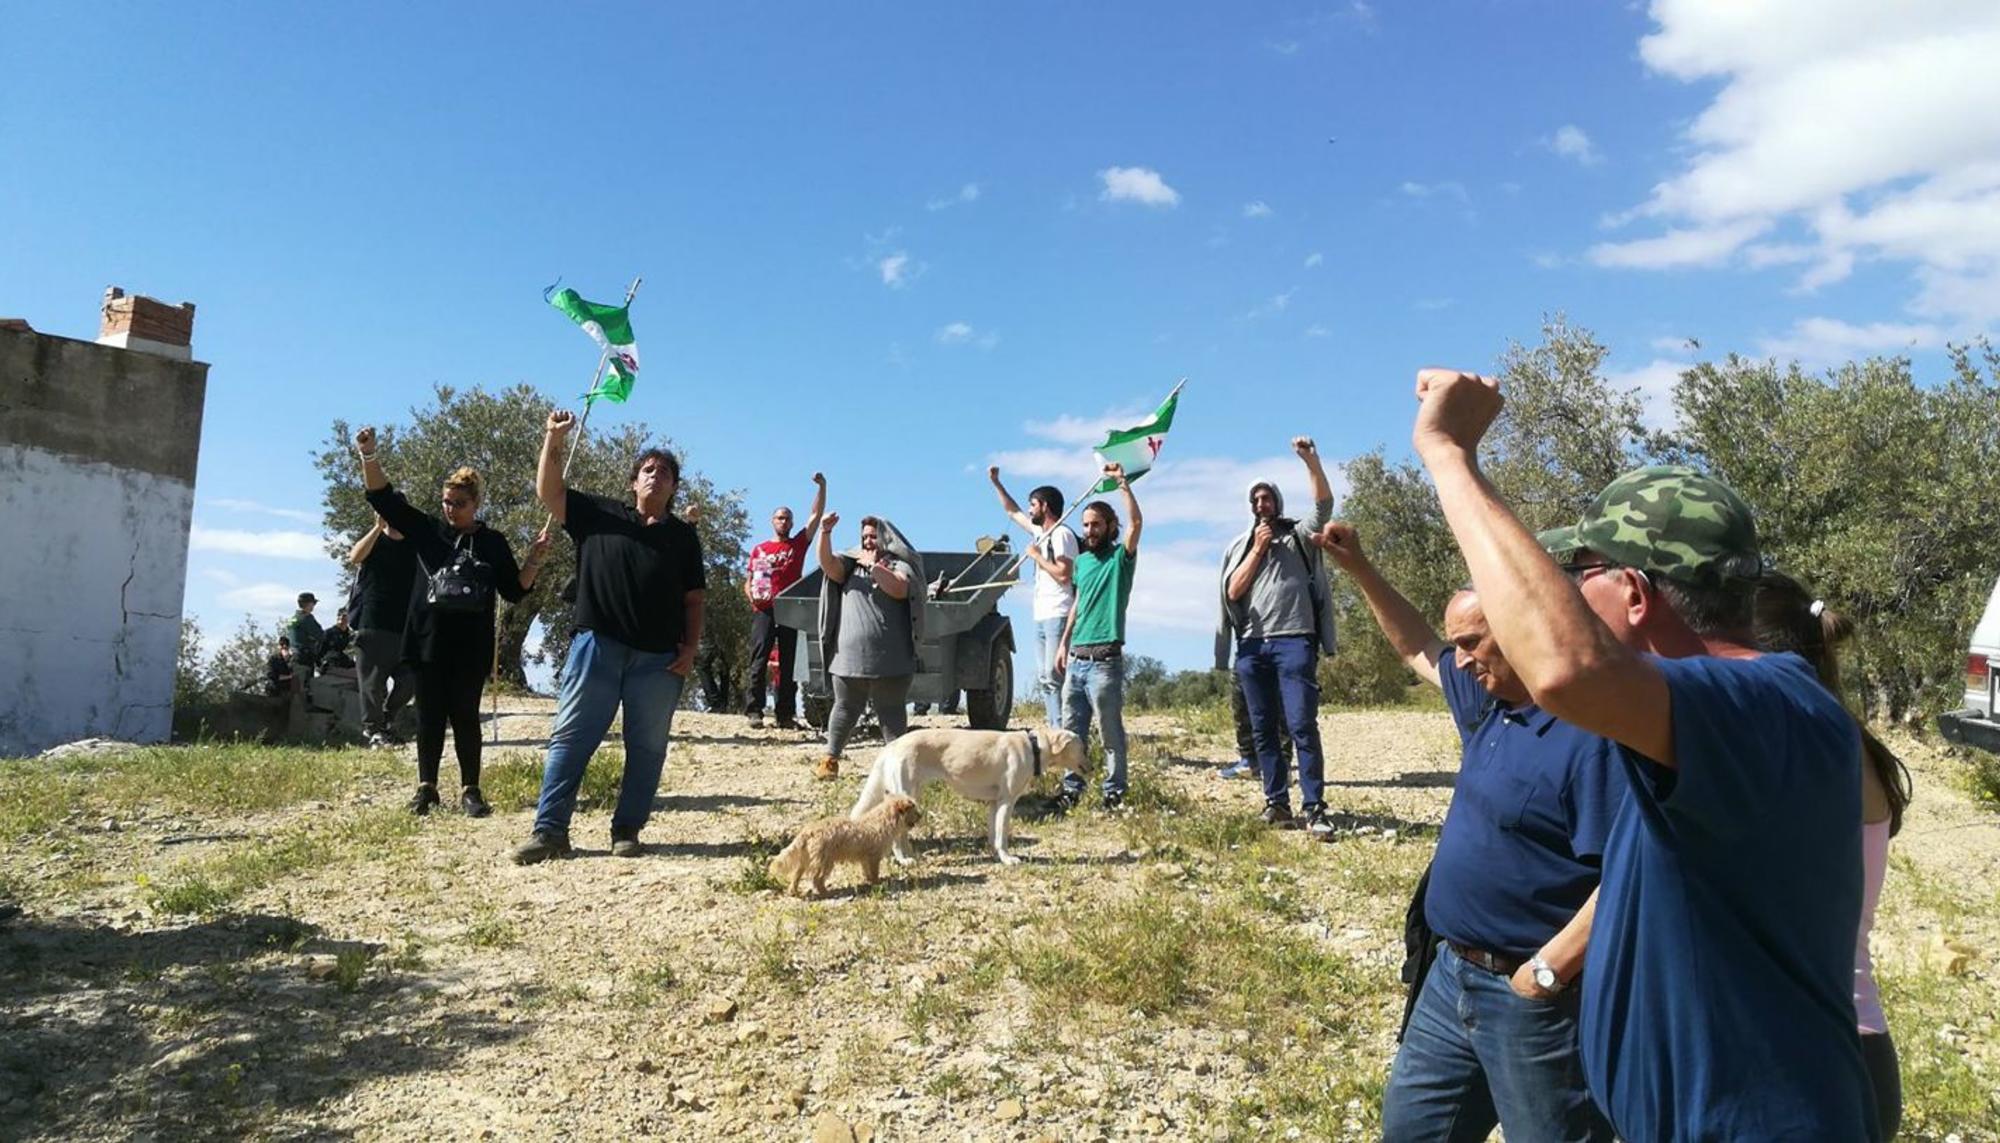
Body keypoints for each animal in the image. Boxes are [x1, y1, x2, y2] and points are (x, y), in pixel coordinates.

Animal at [768, 795, 924, 891]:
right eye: (914, 809)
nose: (921, 815)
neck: (883, 819)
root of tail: (808, 830)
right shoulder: (873, 856)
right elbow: (874, 873)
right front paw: (877, 883)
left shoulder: (865, 858)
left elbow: (866, 871)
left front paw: (869, 880)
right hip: (825, 862)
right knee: (816, 879)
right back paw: (825, 892)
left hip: (807, 859)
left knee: (796, 875)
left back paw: (793, 891)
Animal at [852, 727, 1088, 863]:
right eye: (1084, 748)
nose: (1093, 766)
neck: (1034, 747)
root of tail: (892, 744)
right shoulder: (1007, 801)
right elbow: (1002, 835)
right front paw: (1007, 859)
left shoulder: (994, 803)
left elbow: (994, 833)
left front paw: (995, 854)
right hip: (905, 795)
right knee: (896, 836)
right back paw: (904, 860)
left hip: (911, 795)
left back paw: (912, 855)